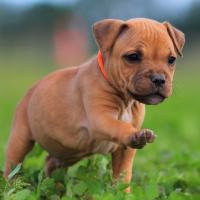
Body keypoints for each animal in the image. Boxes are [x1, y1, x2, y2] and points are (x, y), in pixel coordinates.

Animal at [3, 18, 185, 191]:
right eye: (133, 57)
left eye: (171, 60)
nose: (159, 79)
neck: (126, 99)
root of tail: (31, 89)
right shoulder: (101, 119)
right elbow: (119, 126)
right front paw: (135, 135)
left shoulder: (124, 151)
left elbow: (123, 175)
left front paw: (122, 194)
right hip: (20, 138)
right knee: (12, 166)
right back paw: (11, 186)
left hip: (68, 154)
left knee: (50, 163)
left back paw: (55, 187)